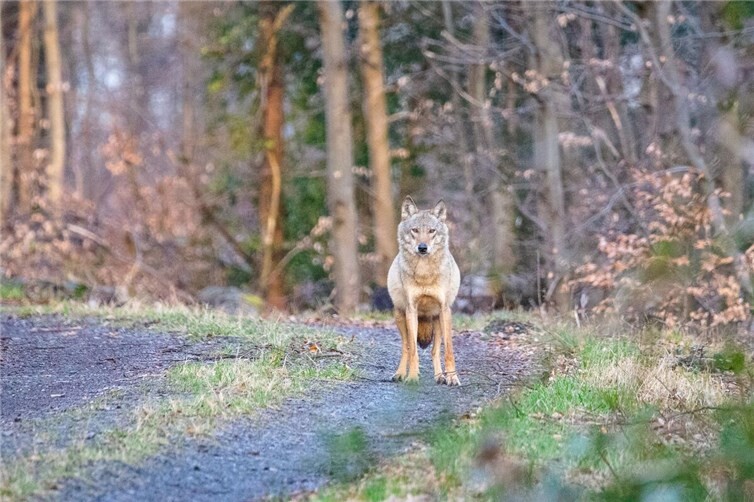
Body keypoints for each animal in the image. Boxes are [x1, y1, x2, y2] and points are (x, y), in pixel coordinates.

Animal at [387, 196, 461, 385]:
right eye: (415, 230)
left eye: (431, 231)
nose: (422, 247)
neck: (424, 273)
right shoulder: (411, 310)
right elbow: (413, 350)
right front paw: (412, 377)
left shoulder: (445, 310)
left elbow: (448, 350)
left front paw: (452, 377)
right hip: (400, 316)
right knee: (406, 347)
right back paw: (400, 374)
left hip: (438, 322)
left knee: (434, 351)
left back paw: (440, 376)